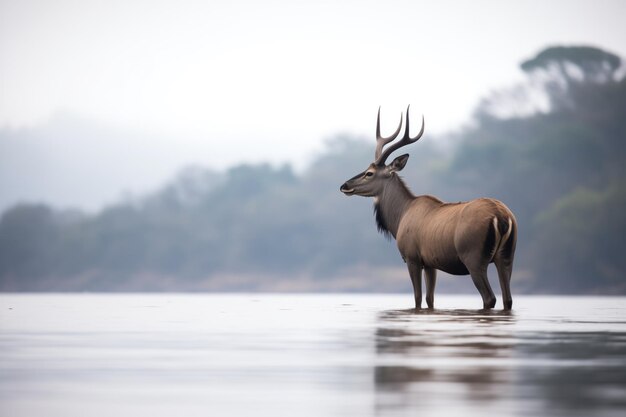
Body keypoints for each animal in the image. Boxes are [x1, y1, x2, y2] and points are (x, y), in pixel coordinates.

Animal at [338, 107, 516, 308]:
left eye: (369, 173)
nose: (344, 185)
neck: (400, 217)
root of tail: (501, 217)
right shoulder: (431, 263)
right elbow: (430, 299)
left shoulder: (412, 258)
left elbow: (417, 298)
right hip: (507, 257)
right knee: (507, 298)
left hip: (474, 258)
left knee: (490, 297)